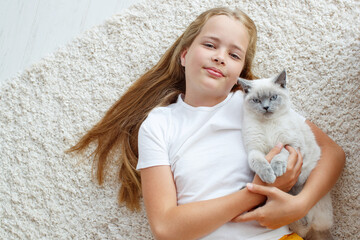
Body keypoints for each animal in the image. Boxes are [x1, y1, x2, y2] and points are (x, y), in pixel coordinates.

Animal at [238, 69, 334, 240]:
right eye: (256, 100)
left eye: (273, 97)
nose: (266, 107)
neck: (268, 124)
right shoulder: (254, 150)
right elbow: (260, 162)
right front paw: (269, 176)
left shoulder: (291, 145)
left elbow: (280, 156)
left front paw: (276, 171)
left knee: (304, 218)